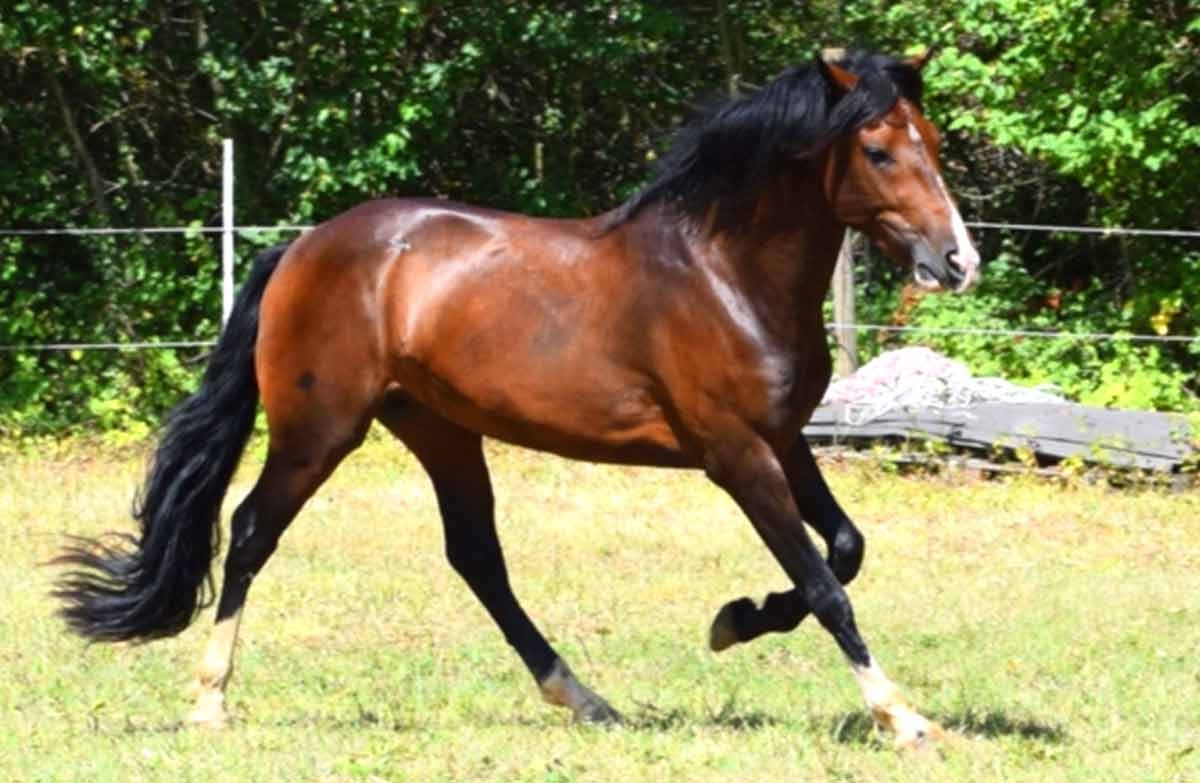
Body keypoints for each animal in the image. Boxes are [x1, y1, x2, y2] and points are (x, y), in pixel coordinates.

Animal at [53, 48, 980, 748]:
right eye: (878, 150)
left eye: (930, 139)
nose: (958, 261)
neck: (724, 273)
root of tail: (303, 247)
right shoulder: (737, 454)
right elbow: (824, 583)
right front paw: (901, 715)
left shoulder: (784, 439)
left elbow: (845, 547)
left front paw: (736, 618)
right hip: (320, 430)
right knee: (250, 532)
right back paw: (209, 700)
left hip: (440, 430)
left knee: (477, 557)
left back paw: (585, 698)